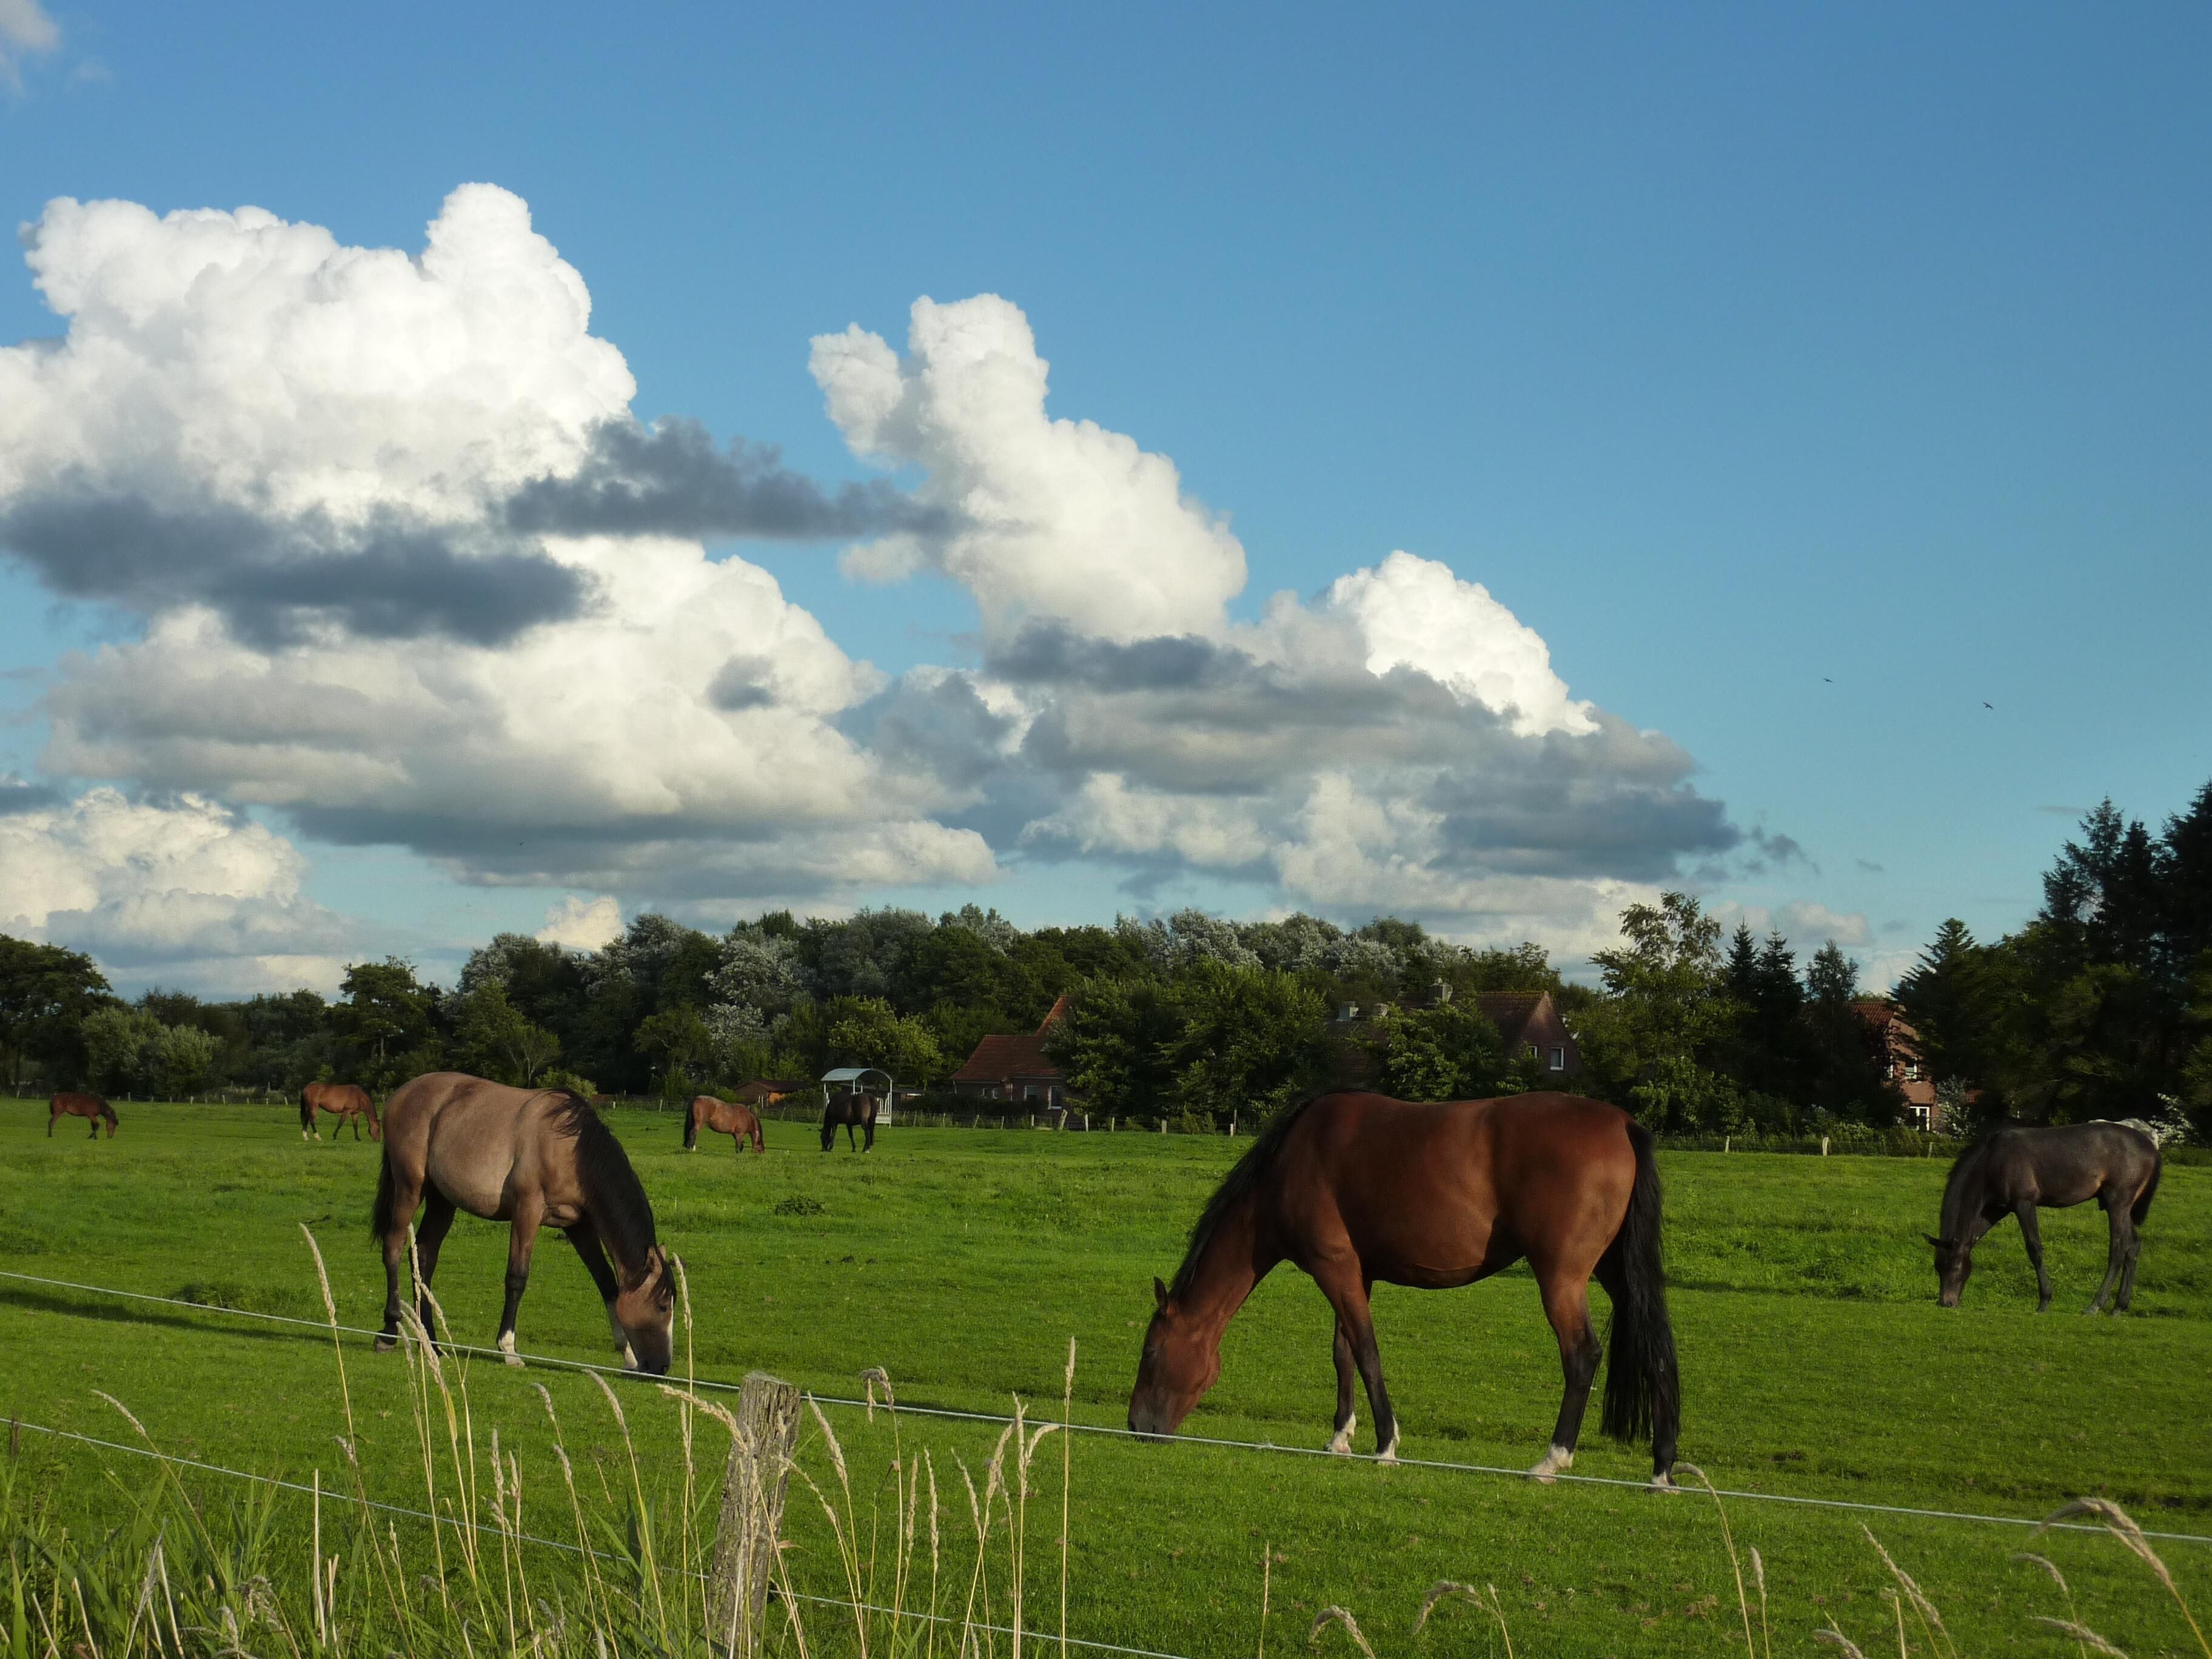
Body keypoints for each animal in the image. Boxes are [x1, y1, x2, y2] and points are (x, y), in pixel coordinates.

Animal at [301, 1081, 380, 1142]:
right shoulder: (347, 1111)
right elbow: (340, 1123)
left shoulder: (355, 1113)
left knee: (306, 1120)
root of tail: (307, 1087)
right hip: (313, 1107)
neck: (359, 1096)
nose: (378, 1141)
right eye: (378, 1129)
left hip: (309, 1108)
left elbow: (355, 1126)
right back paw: (318, 1137)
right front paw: (335, 1137)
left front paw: (358, 1139)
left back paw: (306, 1137)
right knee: (312, 1121)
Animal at [370, 1072, 675, 1373]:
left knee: (424, 1255)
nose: (662, 1367)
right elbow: (517, 1278)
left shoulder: (579, 1225)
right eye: (663, 1305)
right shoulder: (527, 1211)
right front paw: (509, 1349)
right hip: (410, 1187)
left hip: (441, 1199)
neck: (572, 1151)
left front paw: (628, 1356)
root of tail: (401, 1094)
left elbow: (607, 1283)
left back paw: (432, 1345)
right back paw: (388, 1332)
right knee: (394, 1247)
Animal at [683, 1094, 765, 1154]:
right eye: (760, 1148)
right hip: (699, 1124)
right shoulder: (740, 1134)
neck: (748, 1118)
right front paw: (738, 1153)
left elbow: (740, 1144)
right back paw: (690, 1148)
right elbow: (738, 1144)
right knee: (693, 1133)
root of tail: (696, 1098)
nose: (762, 1153)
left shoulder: (735, 1134)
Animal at [1128, 1089, 1680, 1487]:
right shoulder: (1357, 1273)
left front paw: (1385, 1445)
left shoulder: (1335, 1269)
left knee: (1582, 1355)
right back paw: (1662, 1468)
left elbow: (1366, 1352)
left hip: (1561, 1278)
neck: (1291, 1165)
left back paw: (1552, 1461)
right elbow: (1343, 1353)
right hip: (1617, 1273)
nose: (1134, 1426)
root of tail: (1622, 1124)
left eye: (1150, 1352)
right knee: (1655, 1347)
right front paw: (1340, 1437)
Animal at [1926, 1120, 2162, 1312]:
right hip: (2121, 1207)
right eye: (1938, 1267)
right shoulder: (1996, 1210)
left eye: (1954, 1266)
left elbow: (2035, 1249)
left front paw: (2044, 1301)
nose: (1946, 1303)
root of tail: (2150, 1147)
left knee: (2118, 1249)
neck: (1993, 1160)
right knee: (2133, 1246)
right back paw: (2119, 1307)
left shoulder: (2024, 1204)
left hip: (2117, 1204)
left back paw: (2095, 1305)